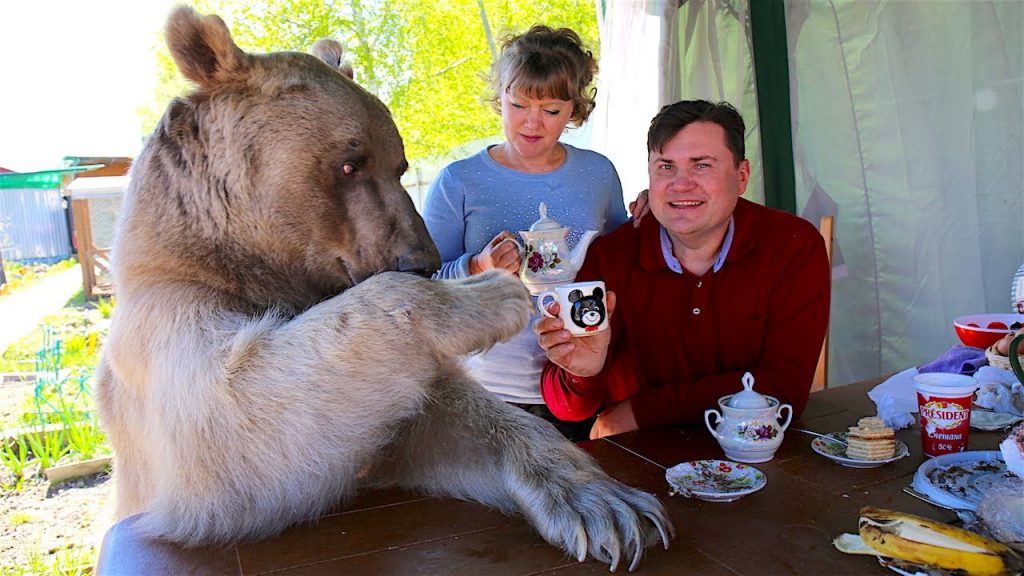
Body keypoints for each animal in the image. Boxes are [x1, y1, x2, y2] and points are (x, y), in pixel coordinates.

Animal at [95, 6, 672, 572]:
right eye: (349, 162)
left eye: (400, 162)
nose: (422, 260)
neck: (243, 256)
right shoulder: (169, 316)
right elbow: (230, 412)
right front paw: (489, 293)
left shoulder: (390, 413)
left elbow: (451, 421)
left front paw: (614, 508)